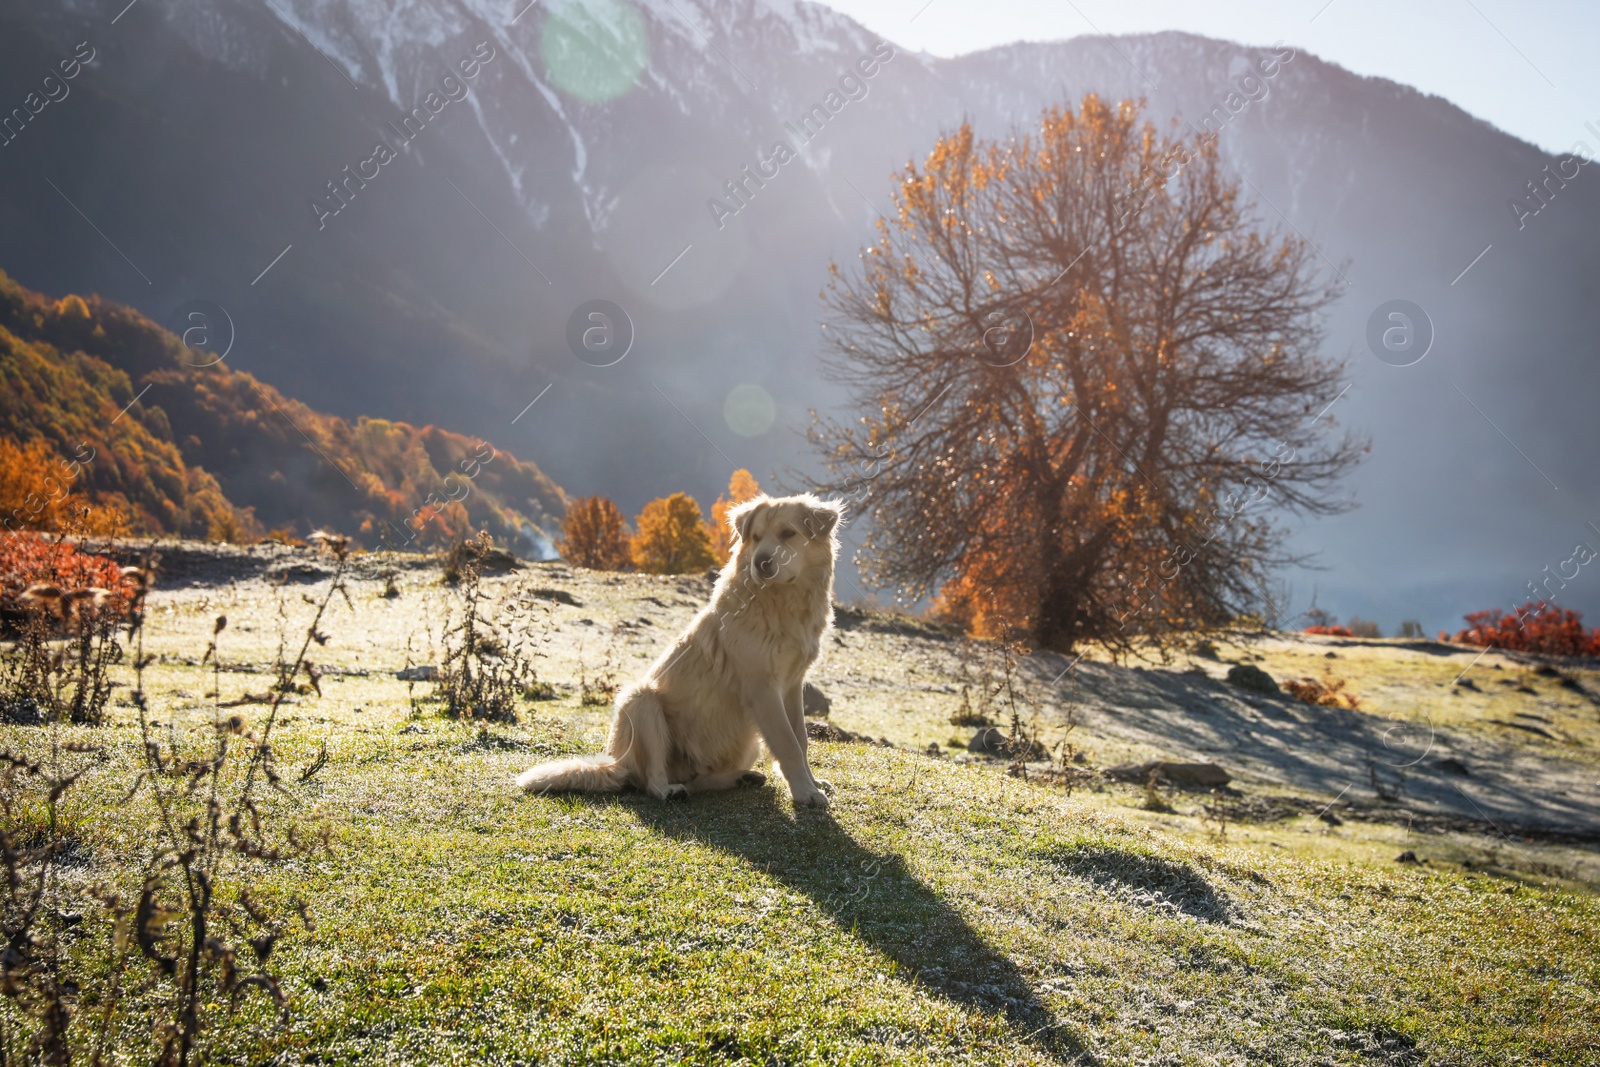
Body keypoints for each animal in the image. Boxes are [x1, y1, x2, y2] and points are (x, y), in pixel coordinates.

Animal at [518, 492, 844, 809]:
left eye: (788, 533)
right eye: (756, 537)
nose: (761, 563)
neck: (782, 604)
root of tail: (615, 763)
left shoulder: (791, 685)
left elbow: (801, 739)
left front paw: (812, 783)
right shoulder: (763, 689)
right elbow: (788, 745)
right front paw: (805, 793)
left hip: (743, 743)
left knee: (698, 781)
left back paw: (741, 778)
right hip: (640, 699)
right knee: (651, 782)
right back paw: (670, 790)